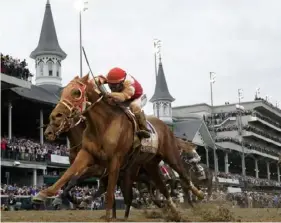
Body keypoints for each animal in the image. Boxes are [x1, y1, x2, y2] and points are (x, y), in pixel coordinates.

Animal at [34, 74, 202, 220]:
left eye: (76, 92)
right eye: (63, 92)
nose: (54, 118)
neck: (103, 125)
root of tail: (165, 126)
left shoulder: (112, 162)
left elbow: (105, 190)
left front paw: (107, 214)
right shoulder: (87, 155)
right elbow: (68, 175)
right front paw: (44, 194)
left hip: (170, 155)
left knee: (183, 177)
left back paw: (198, 194)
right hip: (150, 166)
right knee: (161, 188)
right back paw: (171, 210)